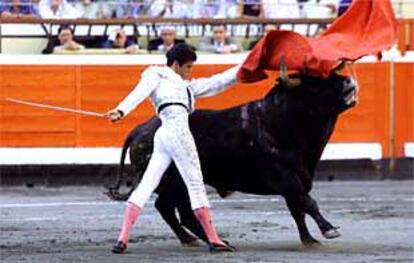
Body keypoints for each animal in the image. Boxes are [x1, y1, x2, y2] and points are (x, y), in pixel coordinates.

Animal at [107, 71, 360, 246]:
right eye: (314, 84)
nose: (349, 81)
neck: (281, 121)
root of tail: (139, 129)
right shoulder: (284, 177)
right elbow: (307, 202)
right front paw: (329, 229)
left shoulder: (298, 177)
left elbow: (297, 208)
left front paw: (309, 240)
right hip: (173, 182)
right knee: (172, 209)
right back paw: (204, 240)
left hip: (177, 184)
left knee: (174, 210)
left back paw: (197, 239)